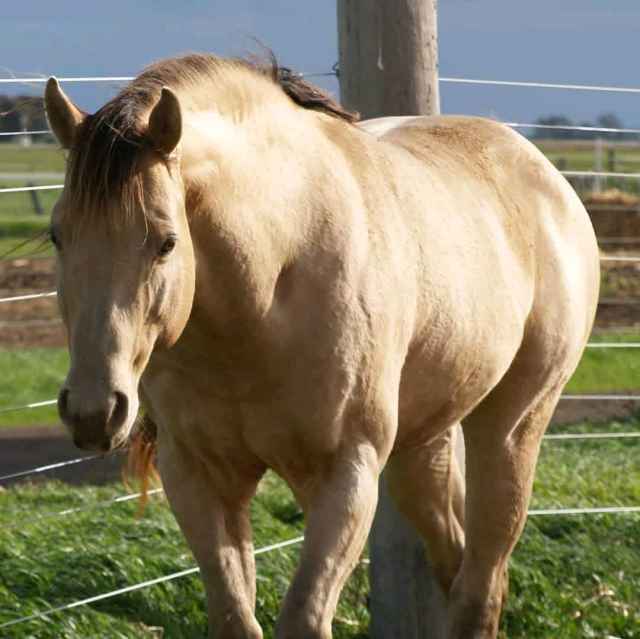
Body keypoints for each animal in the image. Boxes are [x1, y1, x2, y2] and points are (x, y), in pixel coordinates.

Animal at [44, 53, 599, 639]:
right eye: (58, 235)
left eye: (167, 242)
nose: (94, 411)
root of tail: (545, 177)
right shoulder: (199, 475)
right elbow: (235, 617)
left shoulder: (345, 473)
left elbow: (305, 618)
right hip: (423, 446)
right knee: (456, 562)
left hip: (512, 426)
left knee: (482, 583)